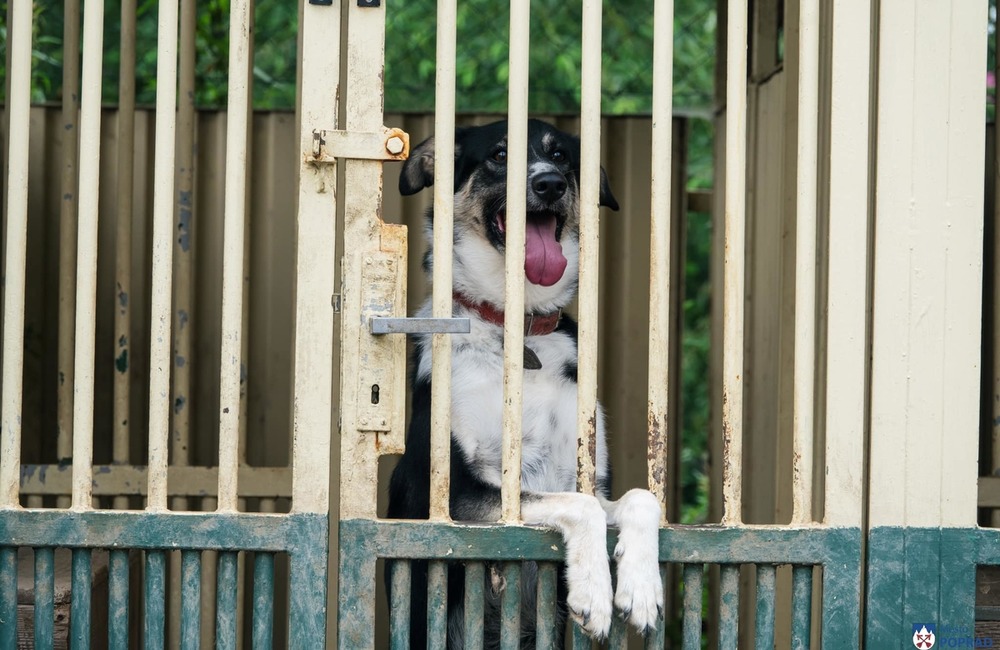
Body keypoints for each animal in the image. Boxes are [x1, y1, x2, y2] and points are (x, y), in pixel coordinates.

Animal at [388, 120, 664, 644]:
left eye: (561, 158)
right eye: (499, 155)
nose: (549, 183)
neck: (520, 334)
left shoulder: (589, 475)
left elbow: (641, 498)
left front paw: (640, 586)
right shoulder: (455, 497)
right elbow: (579, 505)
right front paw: (595, 591)